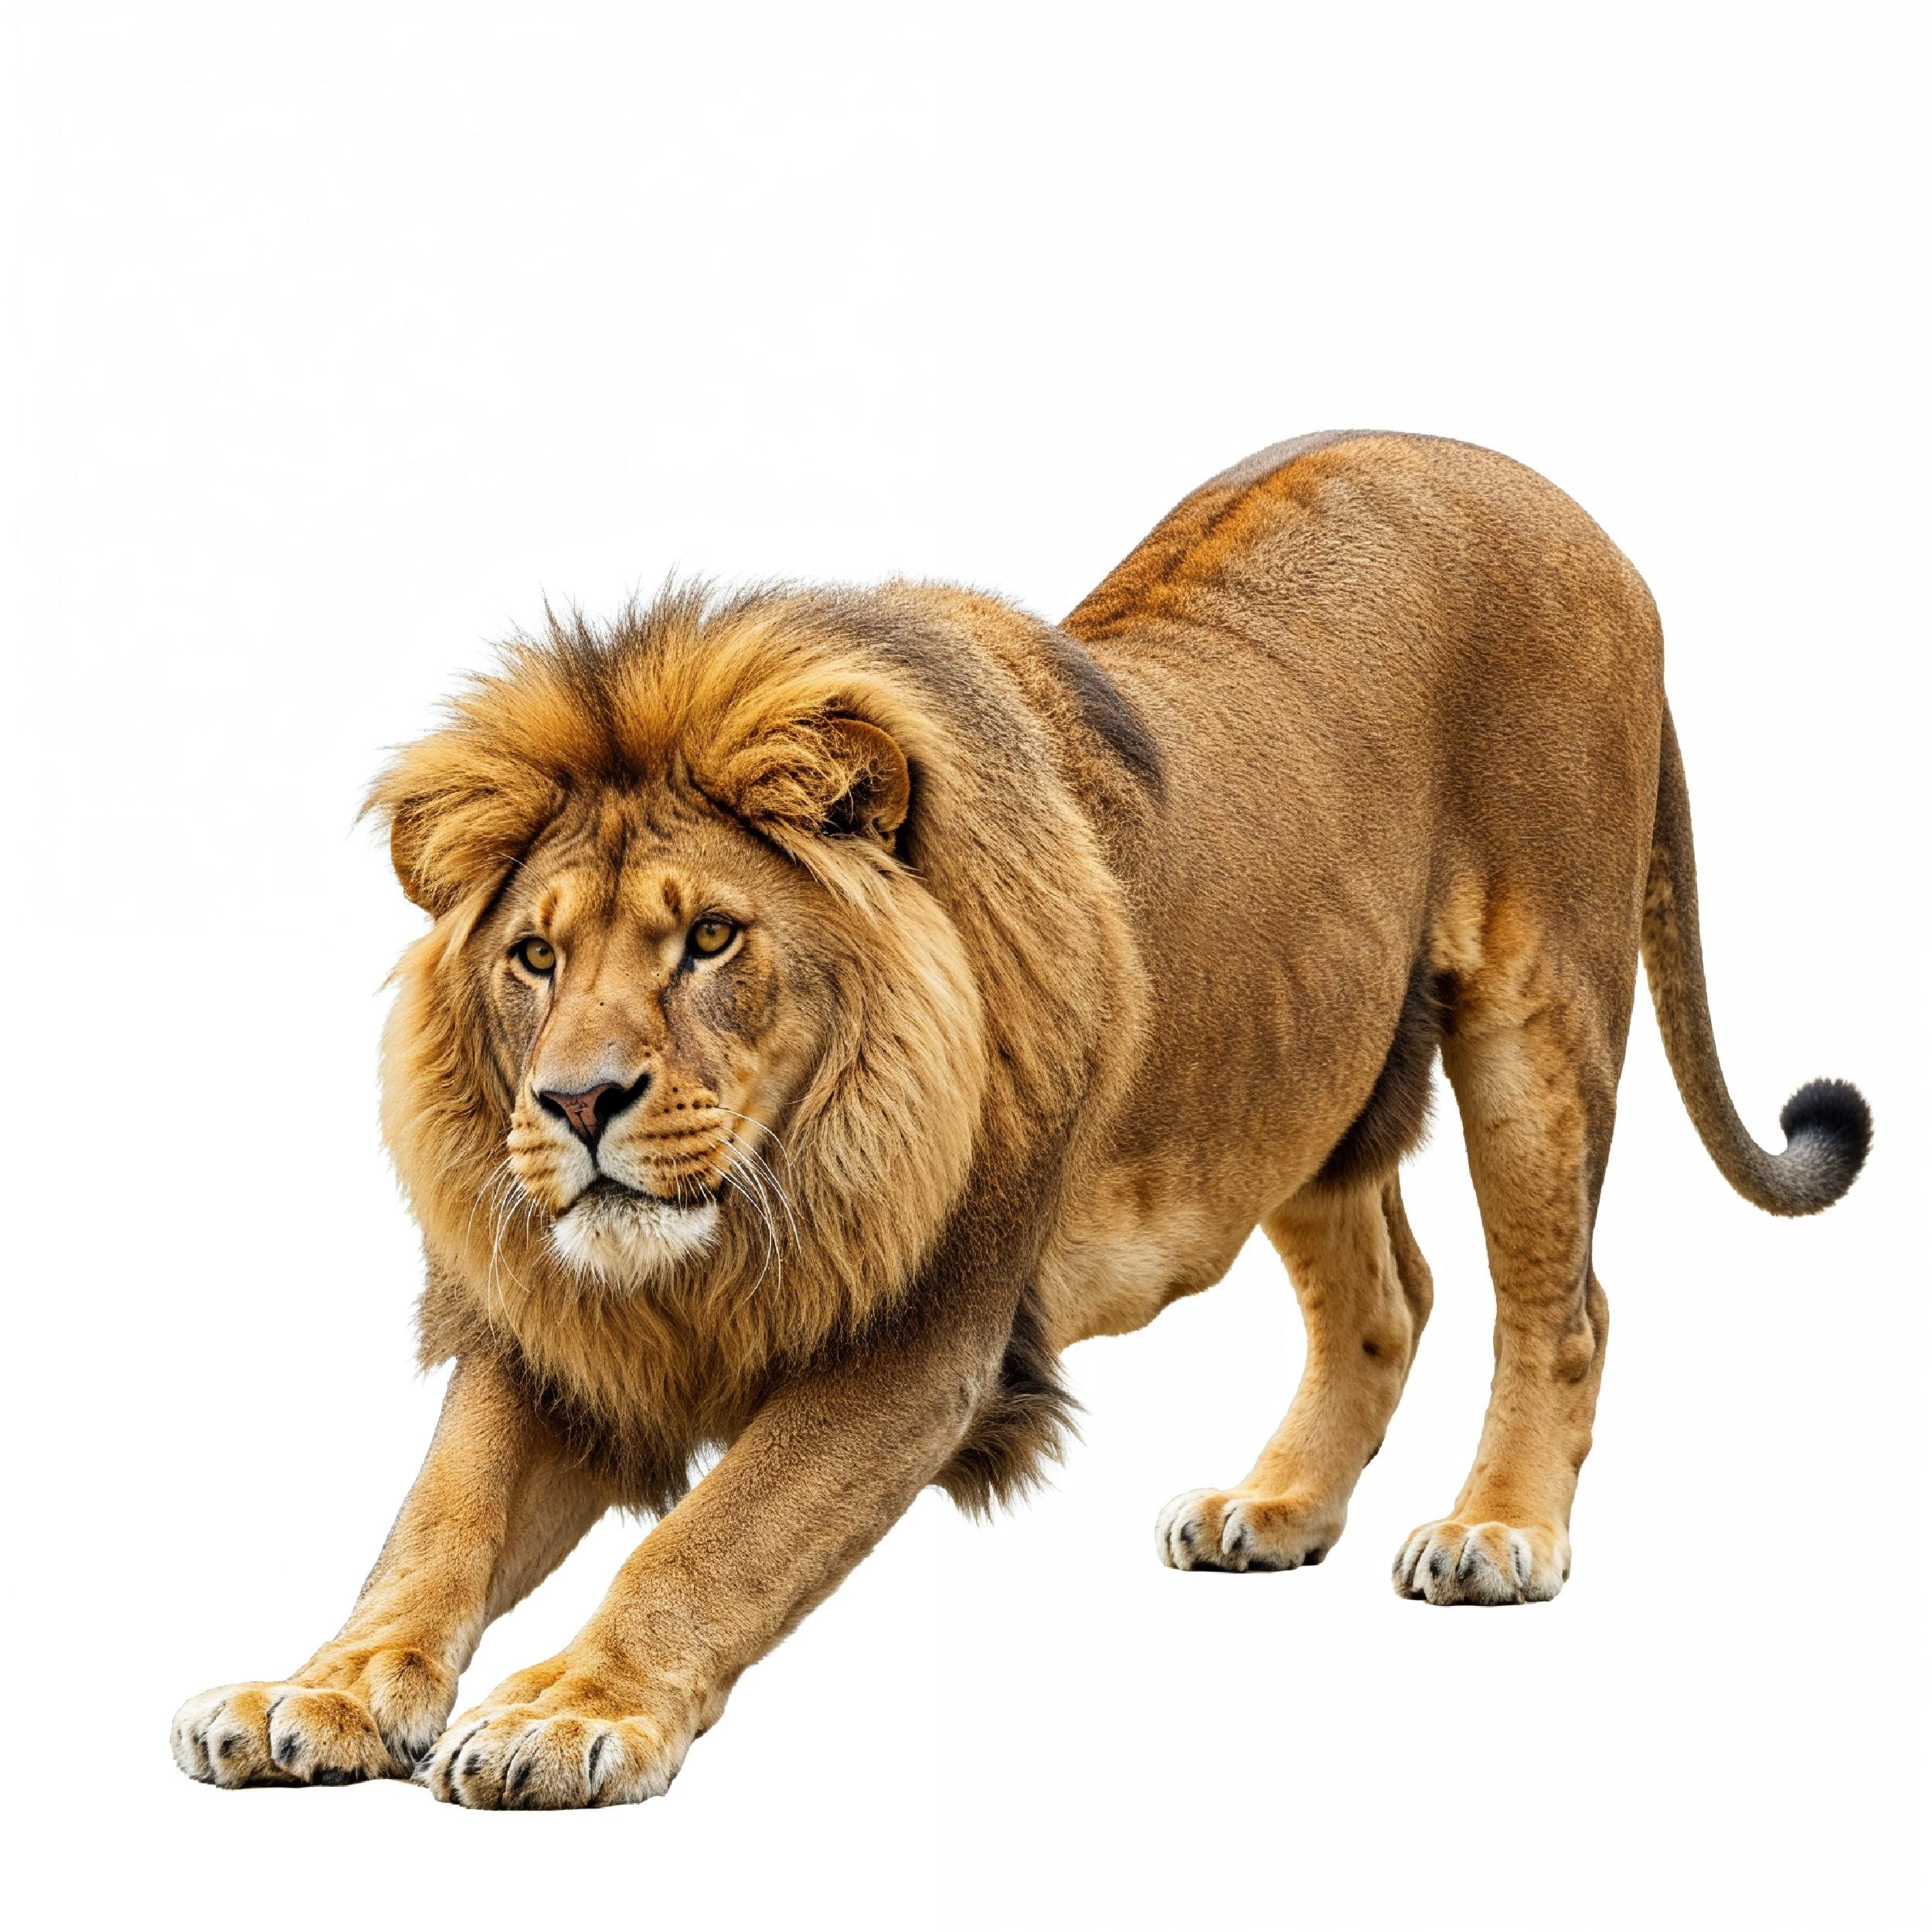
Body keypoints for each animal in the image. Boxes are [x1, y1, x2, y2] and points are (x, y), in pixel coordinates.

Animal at [171, 431, 1870, 1808]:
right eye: (532, 958)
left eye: (709, 939)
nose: (578, 1102)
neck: (760, 1210)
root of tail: (1565, 503)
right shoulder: (562, 1334)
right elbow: (434, 1521)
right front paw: (315, 1690)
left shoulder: (926, 1334)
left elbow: (709, 1535)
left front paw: (568, 1714)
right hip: (1297, 1068)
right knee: (1389, 1294)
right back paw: (1273, 1506)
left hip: (1536, 1015)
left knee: (1559, 1301)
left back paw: (1498, 1534)